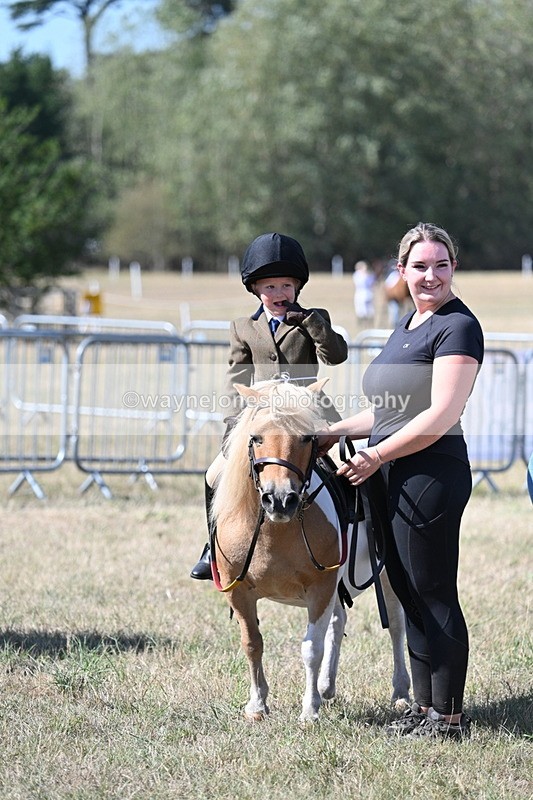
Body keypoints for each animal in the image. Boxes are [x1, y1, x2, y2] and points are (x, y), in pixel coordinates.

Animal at [209, 378, 410, 723]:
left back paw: (399, 693)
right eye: (256, 437)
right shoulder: (240, 593)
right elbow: (252, 643)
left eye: (306, 437)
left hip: (383, 576)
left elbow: (310, 648)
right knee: (338, 622)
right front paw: (257, 705)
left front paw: (309, 710)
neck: (274, 532)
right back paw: (327, 687)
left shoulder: (320, 588)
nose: (280, 500)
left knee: (396, 625)